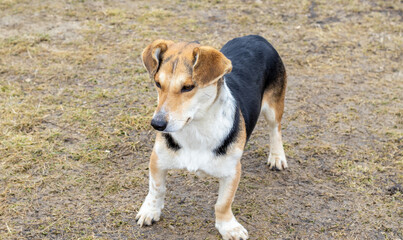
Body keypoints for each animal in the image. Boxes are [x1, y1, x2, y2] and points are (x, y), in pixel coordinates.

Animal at [137, 34, 288, 239]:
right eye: (158, 84)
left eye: (188, 87)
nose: (157, 124)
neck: (196, 129)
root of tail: (255, 36)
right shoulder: (158, 159)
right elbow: (156, 189)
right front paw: (150, 211)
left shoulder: (232, 171)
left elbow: (223, 204)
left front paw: (228, 227)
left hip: (274, 106)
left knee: (275, 129)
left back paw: (277, 156)